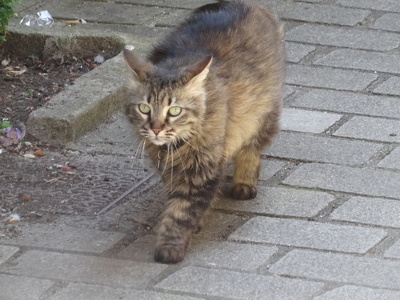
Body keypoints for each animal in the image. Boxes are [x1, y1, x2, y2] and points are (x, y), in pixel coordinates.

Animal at [123, 0, 282, 262]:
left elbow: (183, 209)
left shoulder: (203, 170)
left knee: (251, 150)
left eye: (174, 110)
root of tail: (244, 3)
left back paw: (244, 182)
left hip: (263, 115)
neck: (175, 147)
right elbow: (177, 197)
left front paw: (170, 245)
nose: (155, 128)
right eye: (144, 108)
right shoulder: (168, 167)